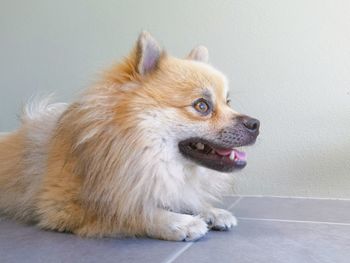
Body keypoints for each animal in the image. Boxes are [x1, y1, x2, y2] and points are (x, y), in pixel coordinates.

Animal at [0, 31, 258, 241]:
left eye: (228, 102)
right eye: (202, 106)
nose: (256, 124)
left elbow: (180, 196)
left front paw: (209, 210)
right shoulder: (61, 205)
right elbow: (134, 212)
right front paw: (179, 222)